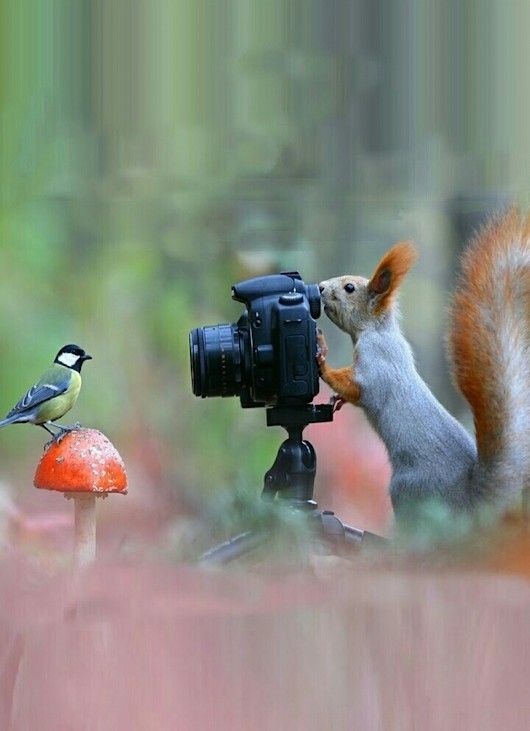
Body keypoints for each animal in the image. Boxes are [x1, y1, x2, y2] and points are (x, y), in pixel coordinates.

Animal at [316, 209, 528, 524]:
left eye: (349, 288)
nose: (319, 287)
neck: (377, 331)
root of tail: (468, 503)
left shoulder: (377, 362)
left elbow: (359, 387)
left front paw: (323, 361)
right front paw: (336, 398)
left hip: (408, 488)